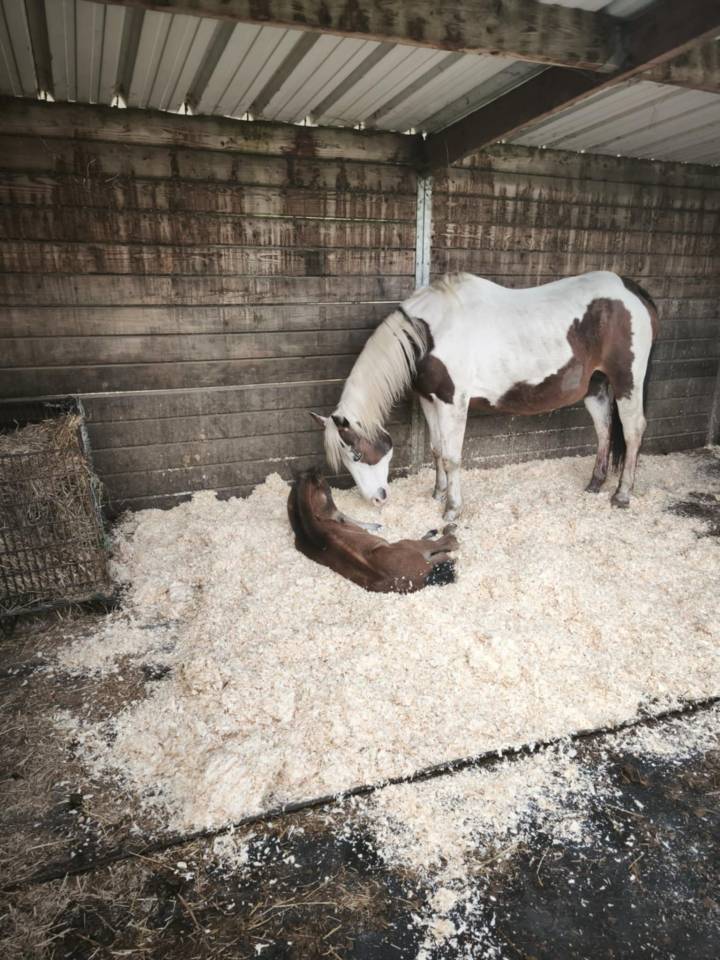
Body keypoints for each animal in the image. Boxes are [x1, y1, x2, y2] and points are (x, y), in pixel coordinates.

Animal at [311, 271, 658, 520]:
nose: (377, 499)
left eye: (356, 454)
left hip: (627, 381)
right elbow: (437, 449)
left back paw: (622, 495)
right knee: (604, 430)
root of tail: (632, 292)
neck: (431, 333)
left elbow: (452, 457)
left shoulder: (453, 402)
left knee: (633, 430)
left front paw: (452, 510)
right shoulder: (429, 399)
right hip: (596, 386)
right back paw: (595, 484)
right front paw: (438, 494)